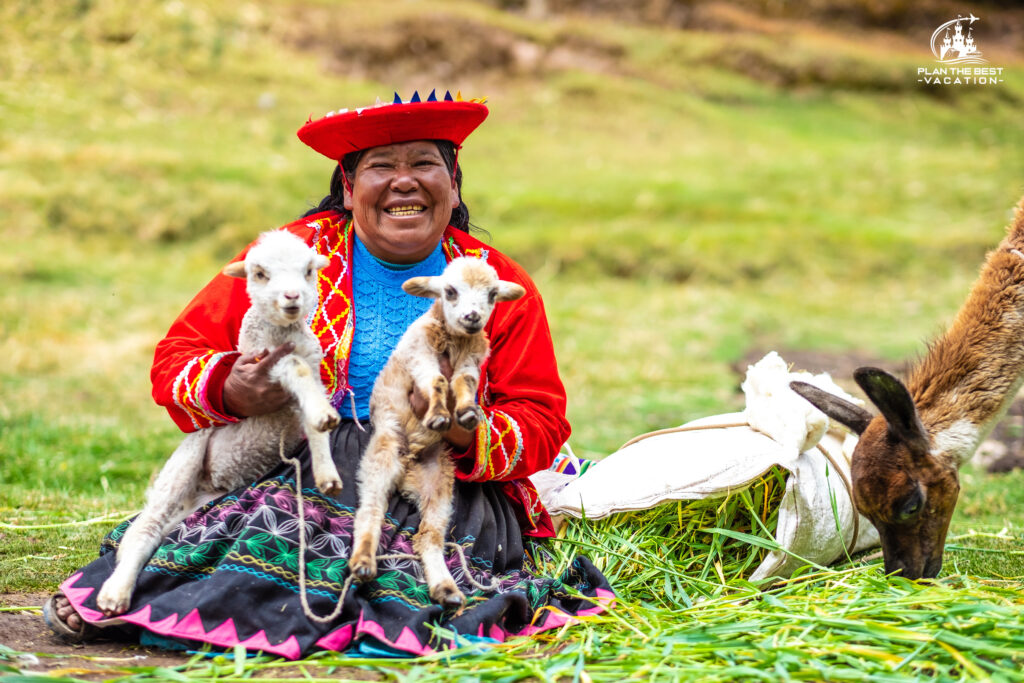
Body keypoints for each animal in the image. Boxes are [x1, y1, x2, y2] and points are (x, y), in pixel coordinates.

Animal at [96, 232, 344, 618]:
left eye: (307, 271)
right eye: (259, 274)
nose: (292, 297)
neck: (284, 335)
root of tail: (201, 489)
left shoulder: (310, 380)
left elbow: (316, 420)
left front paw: (326, 468)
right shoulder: (268, 363)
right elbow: (296, 370)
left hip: (198, 503)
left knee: (161, 534)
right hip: (183, 465)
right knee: (144, 531)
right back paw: (115, 593)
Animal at [352, 258, 528, 610]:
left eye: (492, 294)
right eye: (450, 291)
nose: (473, 317)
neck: (455, 340)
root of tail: (407, 466)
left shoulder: (472, 359)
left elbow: (464, 383)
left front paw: (467, 413)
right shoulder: (418, 354)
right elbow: (437, 380)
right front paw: (437, 415)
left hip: (439, 483)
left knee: (428, 537)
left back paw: (445, 589)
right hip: (383, 453)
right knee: (371, 510)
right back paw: (363, 561)